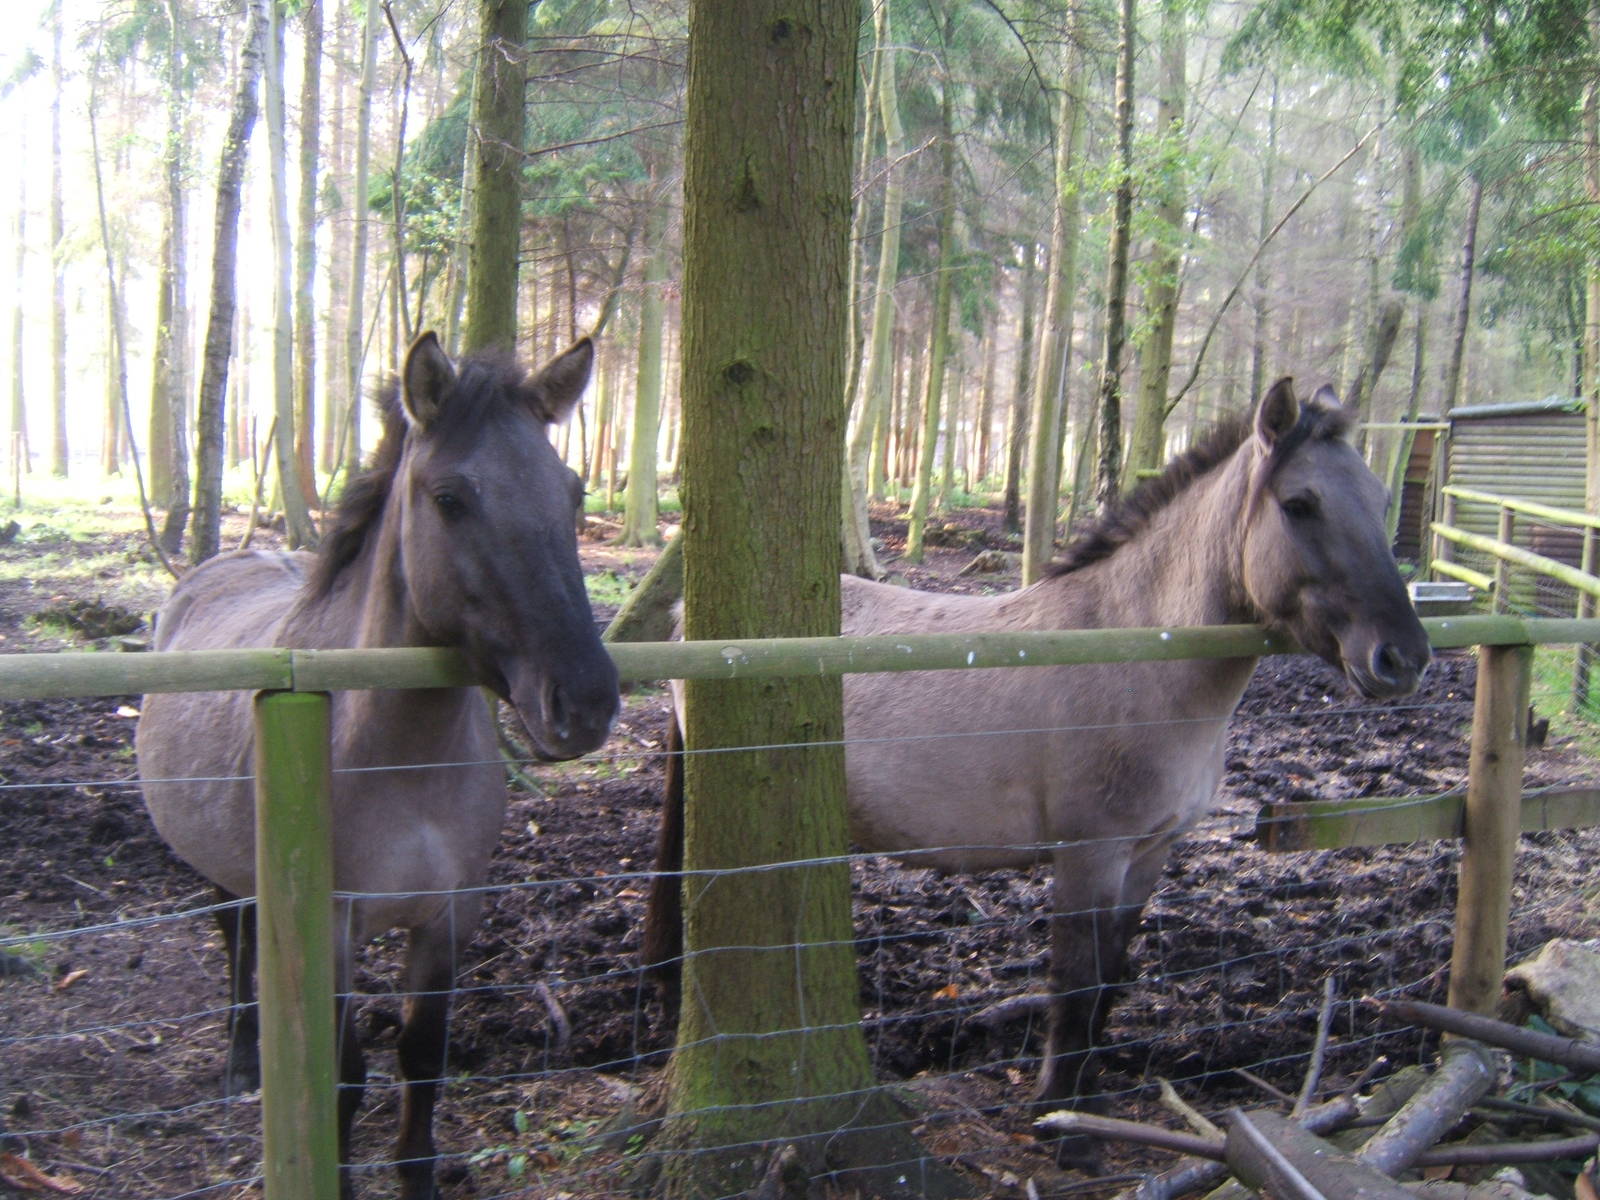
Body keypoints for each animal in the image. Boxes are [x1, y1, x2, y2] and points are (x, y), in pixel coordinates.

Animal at [136, 333, 621, 1200]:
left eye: (572, 493)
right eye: (450, 498)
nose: (586, 702)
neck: (399, 764)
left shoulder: (448, 915)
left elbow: (421, 1058)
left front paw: (417, 1174)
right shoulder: (333, 924)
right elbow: (344, 1074)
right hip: (220, 868)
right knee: (234, 938)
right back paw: (242, 1061)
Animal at [644, 379, 1431, 1147]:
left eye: (1381, 500)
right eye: (1299, 505)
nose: (1404, 658)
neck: (1134, 656)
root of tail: (687, 623)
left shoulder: (1150, 852)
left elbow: (1111, 973)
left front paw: (1091, 1102)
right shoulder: (1088, 853)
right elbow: (1075, 980)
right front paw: (1060, 1118)